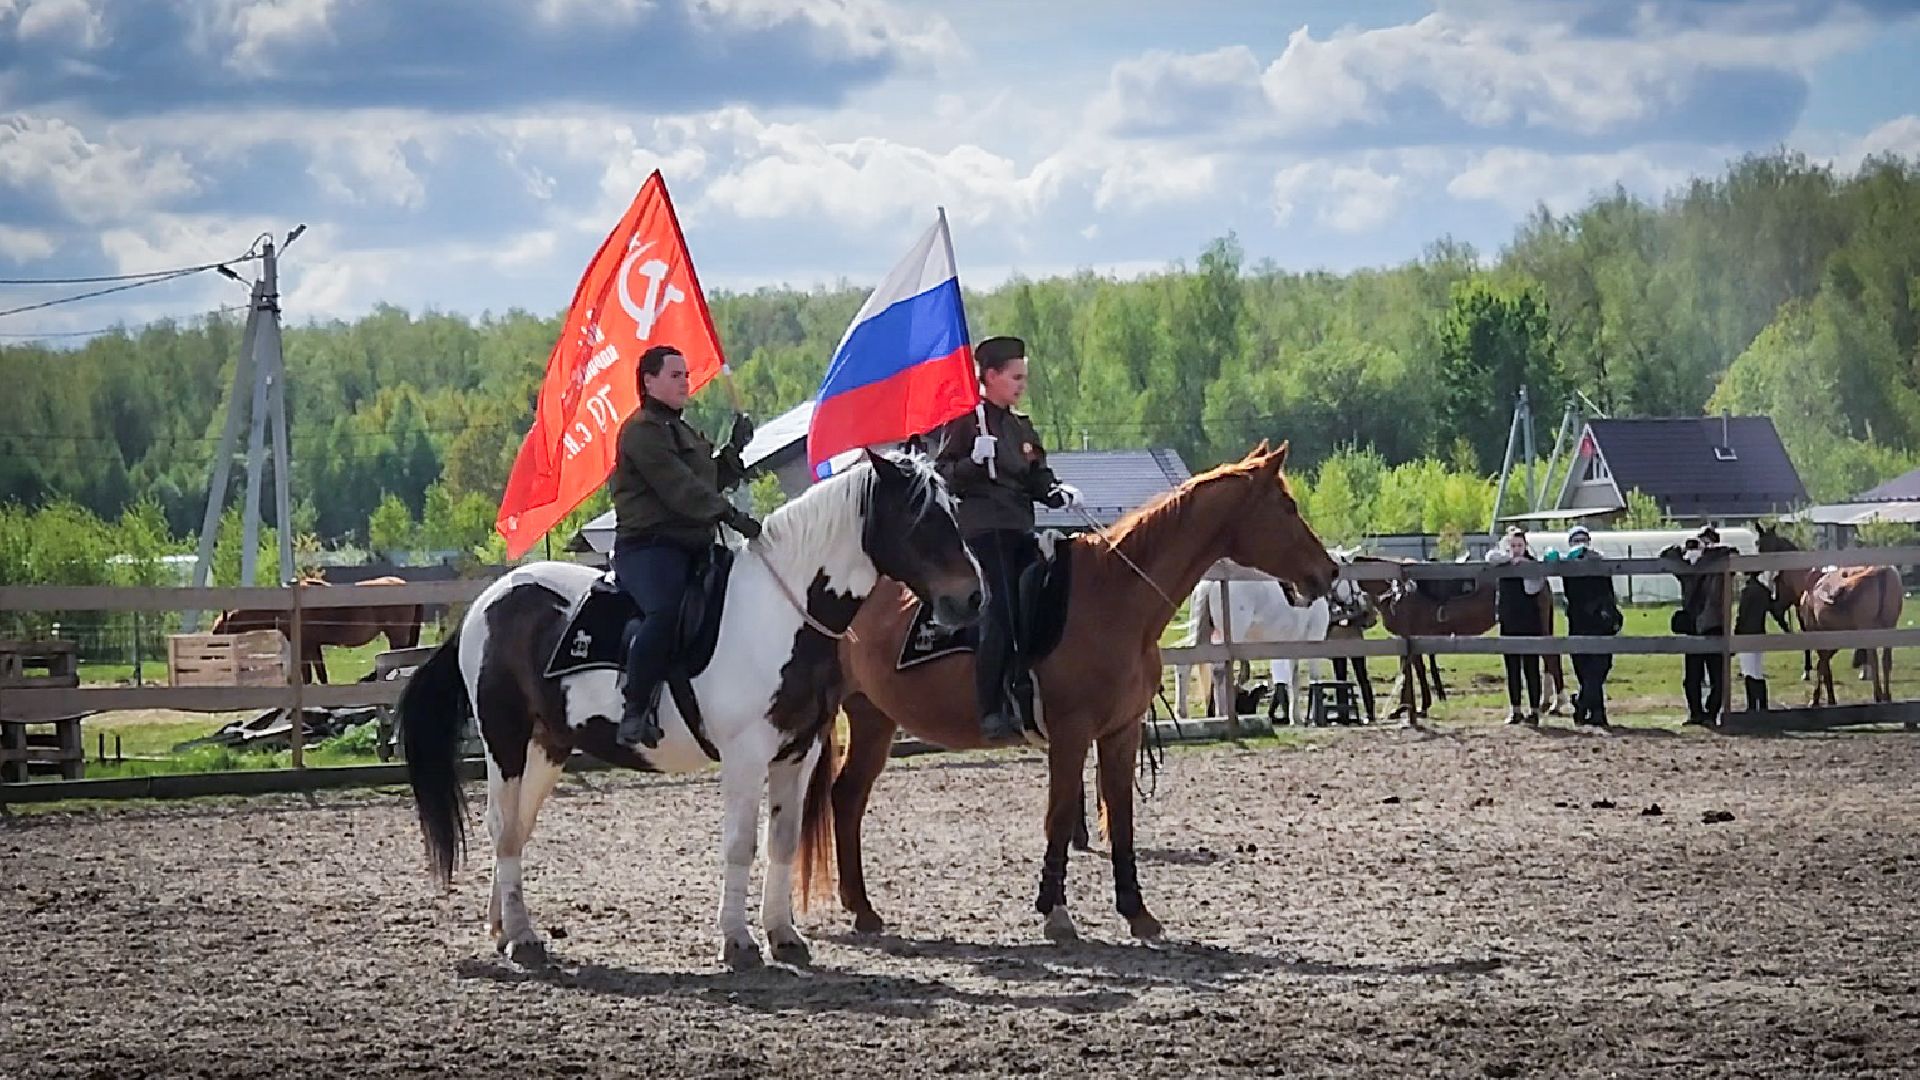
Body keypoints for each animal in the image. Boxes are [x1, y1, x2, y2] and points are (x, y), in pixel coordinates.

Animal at [212, 573, 424, 684]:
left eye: (218, 629)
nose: (213, 652)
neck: (289, 608)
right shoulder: (313, 647)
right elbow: (320, 675)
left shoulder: (306, 647)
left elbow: (309, 676)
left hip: (396, 634)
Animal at [396, 451, 983, 969]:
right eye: (919, 518)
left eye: (953, 513)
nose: (972, 598)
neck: (778, 612)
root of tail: (485, 603)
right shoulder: (746, 757)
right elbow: (740, 845)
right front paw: (739, 942)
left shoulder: (798, 752)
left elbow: (783, 840)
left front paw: (784, 936)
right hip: (506, 740)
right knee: (502, 826)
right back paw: (522, 939)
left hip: (547, 746)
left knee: (516, 829)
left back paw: (503, 929)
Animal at [796, 442, 1338, 944]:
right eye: (1286, 506)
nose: (1329, 572)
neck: (1116, 595)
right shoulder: (1071, 734)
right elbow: (1059, 818)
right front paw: (1054, 911)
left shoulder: (1121, 732)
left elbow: (1121, 818)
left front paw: (1137, 912)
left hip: (872, 716)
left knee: (846, 797)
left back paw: (862, 909)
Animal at [1339, 553, 1567, 720]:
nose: (1366, 618)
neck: (1397, 590)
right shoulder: (1409, 640)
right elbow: (1412, 670)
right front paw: (1409, 708)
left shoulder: (1410, 637)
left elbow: (1413, 670)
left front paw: (1415, 708)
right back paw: (1547, 703)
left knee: (1552, 659)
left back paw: (1556, 704)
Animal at [1755, 524, 1903, 706]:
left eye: (1761, 544)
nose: (1774, 606)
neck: (1810, 582)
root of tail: (1881, 570)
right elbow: (1824, 664)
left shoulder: (1817, 633)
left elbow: (1822, 665)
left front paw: (1818, 698)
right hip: (1889, 627)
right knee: (1885, 662)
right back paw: (1887, 696)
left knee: (1874, 659)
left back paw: (1878, 696)